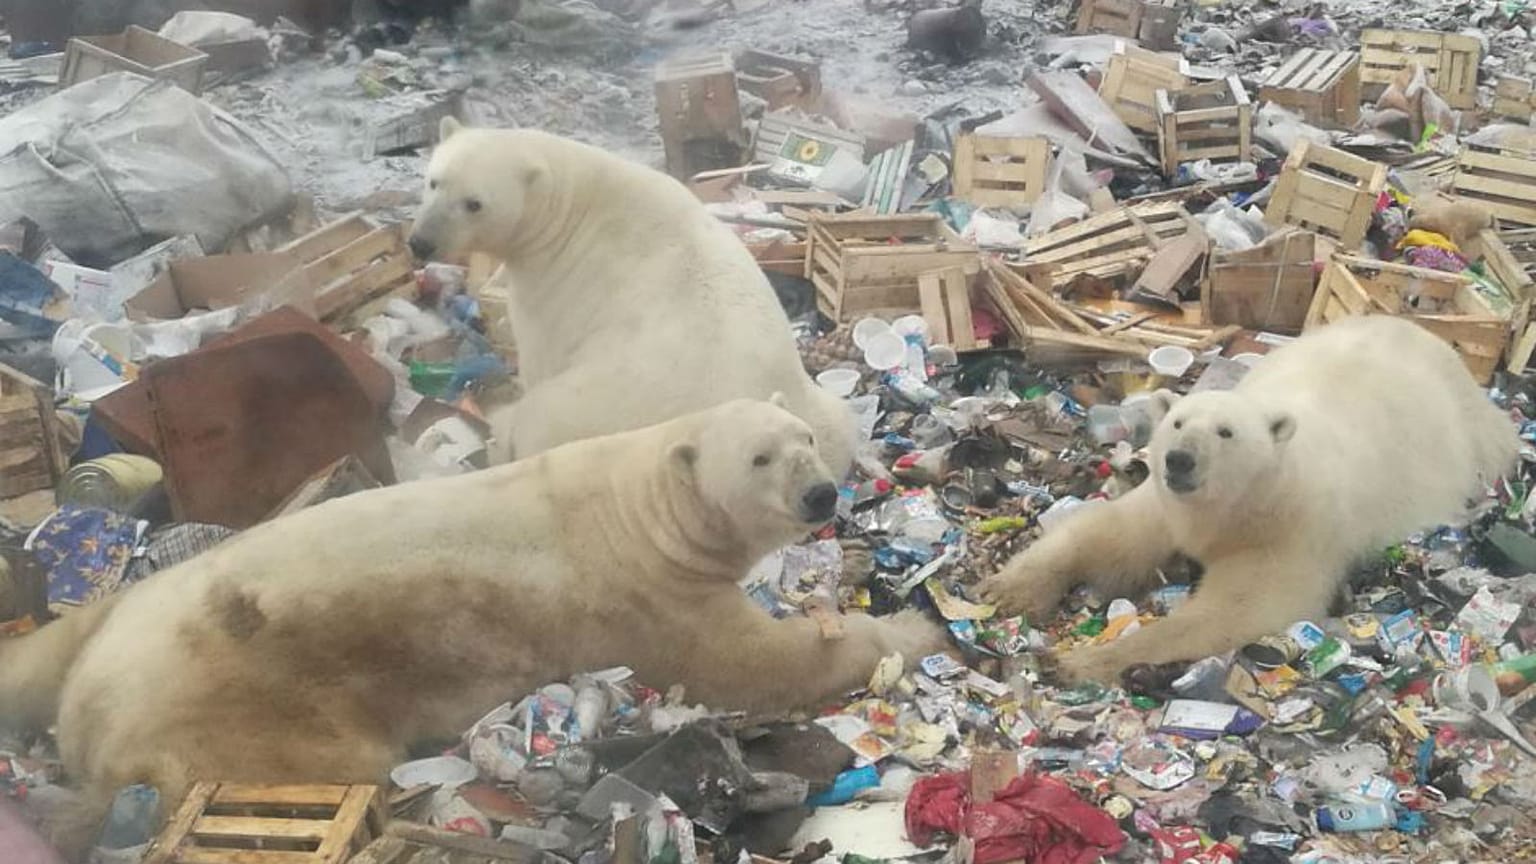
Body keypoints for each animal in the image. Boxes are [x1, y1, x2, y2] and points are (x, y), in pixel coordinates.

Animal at [0, 397, 946, 859]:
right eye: (759, 458)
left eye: (805, 437)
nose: (820, 494)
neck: (644, 510)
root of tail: (87, 716)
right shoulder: (648, 597)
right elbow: (752, 663)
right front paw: (912, 632)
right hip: (239, 708)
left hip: (118, 612)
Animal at [406, 120, 857, 478]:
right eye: (434, 181)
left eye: (474, 203)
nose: (421, 243)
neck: (573, 200)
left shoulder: (553, 281)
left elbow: (539, 354)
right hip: (817, 409)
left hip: (590, 410)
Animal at [981, 316, 1519, 685]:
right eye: (1178, 422)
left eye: (1225, 432)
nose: (1179, 460)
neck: (1241, 505)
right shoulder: (1168, 506)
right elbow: (1105, 536)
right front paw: (1008, 591)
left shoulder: (1287, 531)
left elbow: (1237, 609)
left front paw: (1079, 661)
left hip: (1471, 440)